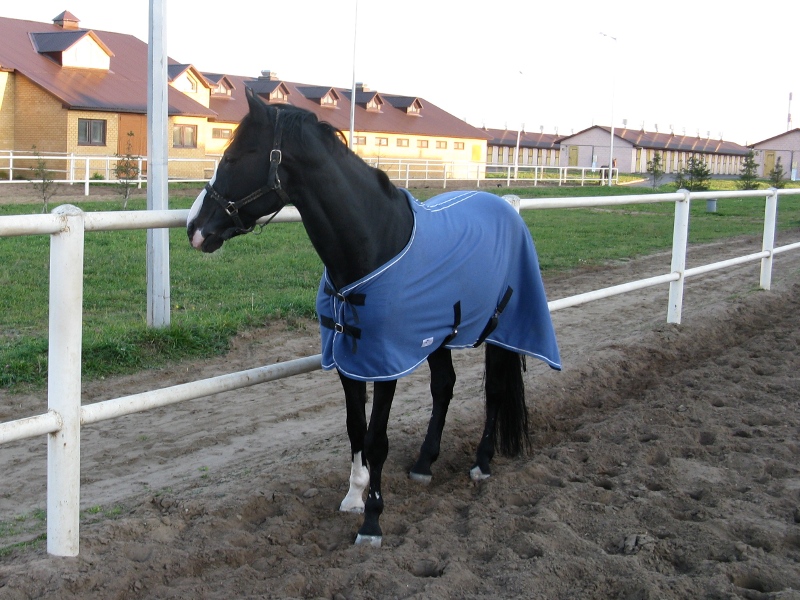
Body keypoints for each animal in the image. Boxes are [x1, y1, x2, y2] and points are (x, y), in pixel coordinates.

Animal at [188, 90, 564, 548]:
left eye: (232, 157)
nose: (193, 227)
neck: (375, 240)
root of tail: (506, 208)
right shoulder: (351, 360)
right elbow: (355, 428)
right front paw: (354, 495)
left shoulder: (386, 365)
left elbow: (377, 439)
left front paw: (372, 521)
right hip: (437, 336)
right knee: (444, 387)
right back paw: (424, 463)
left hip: (499, 332)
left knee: (493, 390)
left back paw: (482, 462)